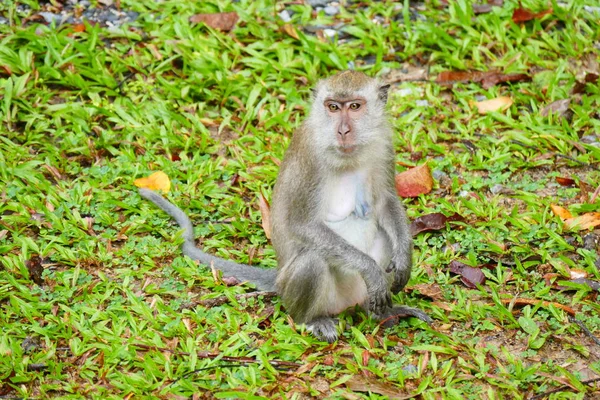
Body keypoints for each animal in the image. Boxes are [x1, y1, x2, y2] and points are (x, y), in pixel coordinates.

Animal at [141, 70, 432, 342]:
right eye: (333, 107)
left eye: (355, 106)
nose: (343, 131)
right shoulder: (309, 157)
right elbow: (301, 224)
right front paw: (371, 270)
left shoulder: (383, 143)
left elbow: (384, 202)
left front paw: (404, 258)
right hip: (296, 291)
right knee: (312, 261)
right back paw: (313, 320)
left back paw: (380, 313)